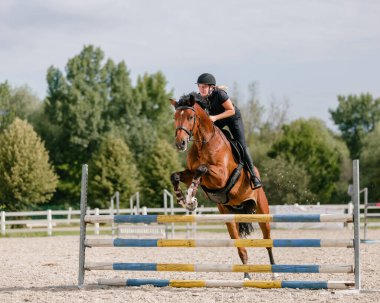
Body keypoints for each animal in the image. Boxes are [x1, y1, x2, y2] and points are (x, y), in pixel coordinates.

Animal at [171, 93, 274, 280]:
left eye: (190, 117)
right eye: (175, 117)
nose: (180, 143)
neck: (203, 143)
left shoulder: (220, 176)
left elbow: (202, 169)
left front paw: (191, 195)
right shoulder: (189, 173)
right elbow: (176, 175)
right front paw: (184, 200)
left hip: (262, 210)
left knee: (267, 240)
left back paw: (275, 273)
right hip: (229, 216)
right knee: (241, 248)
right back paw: (246, 276)